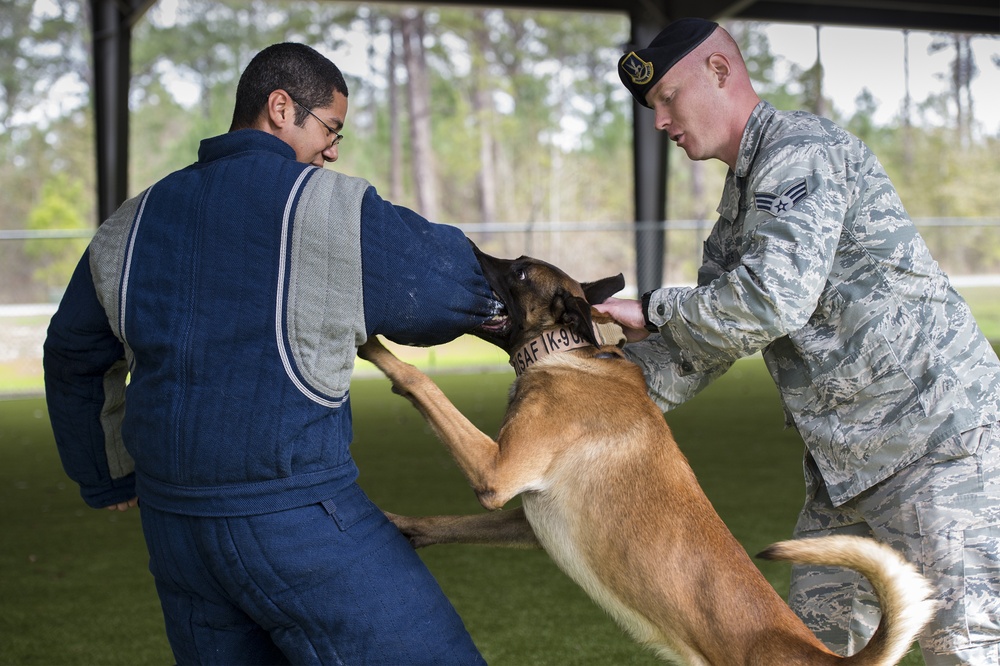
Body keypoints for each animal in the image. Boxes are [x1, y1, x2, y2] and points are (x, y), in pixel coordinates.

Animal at [356, 248, 932, 664]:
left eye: (517, 271)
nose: (470, 248)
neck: (568, 354)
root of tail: (821, 657)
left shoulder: (496, 473)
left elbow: (420, 381)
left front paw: (373, 346)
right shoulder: (528, 517)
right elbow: (451, 522)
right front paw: (401, 526)